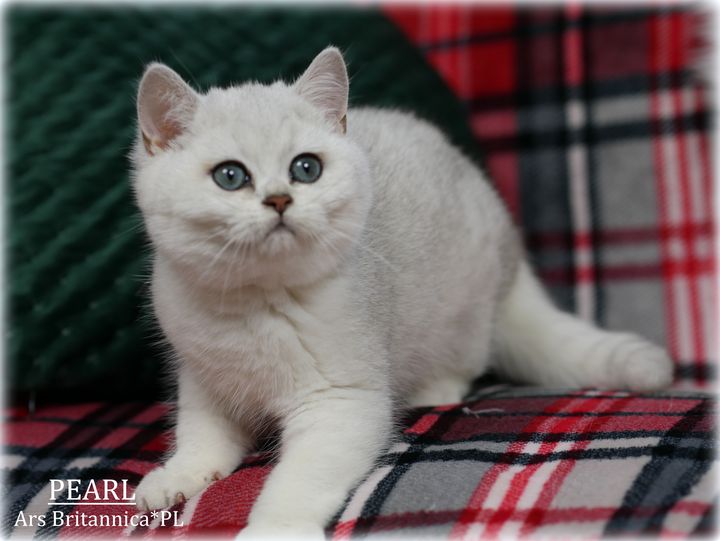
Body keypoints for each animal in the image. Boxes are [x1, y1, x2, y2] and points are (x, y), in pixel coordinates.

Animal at [131, 47, 673, 539]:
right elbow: (201, 437)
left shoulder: (343, 401)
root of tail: (511, 256)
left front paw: (275, 529)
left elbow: (297, 479)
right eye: (230, 176)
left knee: (466, 363)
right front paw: (176, 477)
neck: (254, 304)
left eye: (306, 168)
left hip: (465, 313)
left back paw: (433, 388)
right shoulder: (204, 380)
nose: (280, 200)